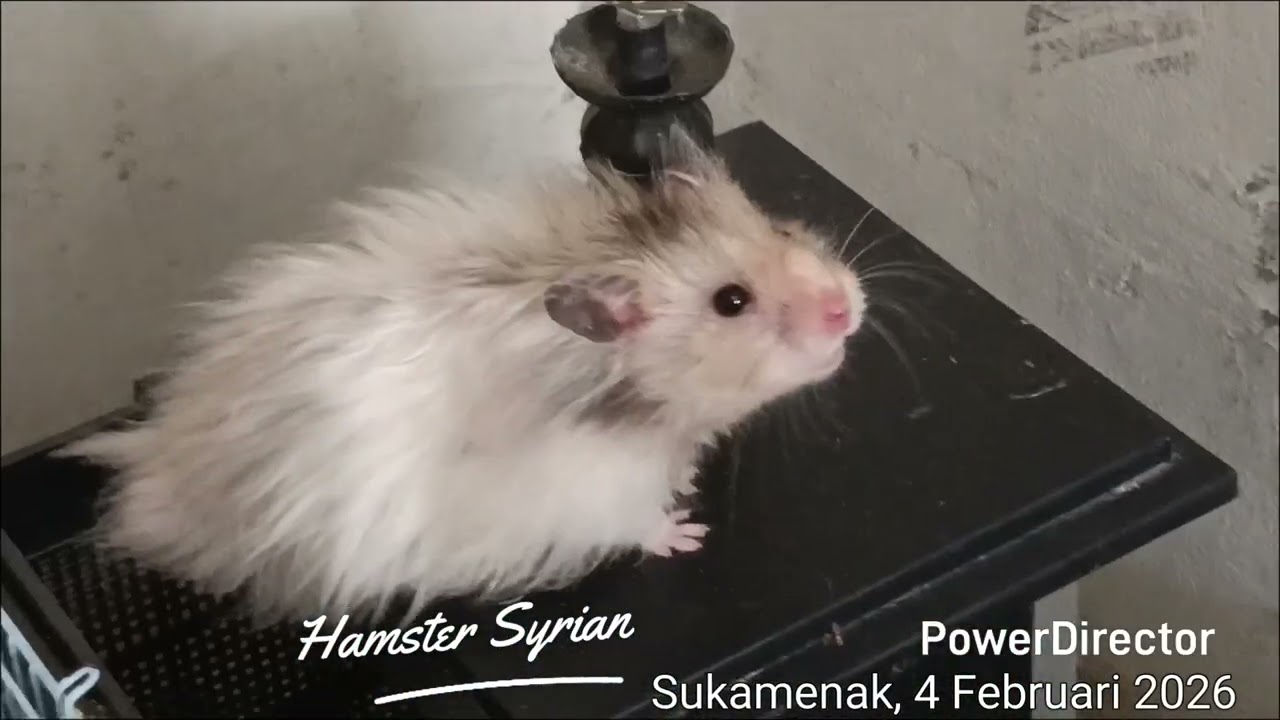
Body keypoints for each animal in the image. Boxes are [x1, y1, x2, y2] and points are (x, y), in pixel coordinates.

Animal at [57, 126, 867, 625]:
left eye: (783, 228)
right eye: (731, 302)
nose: (846, 311)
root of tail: (149, 462)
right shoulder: (600, 493)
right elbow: (642, 523)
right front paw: (687, 531)